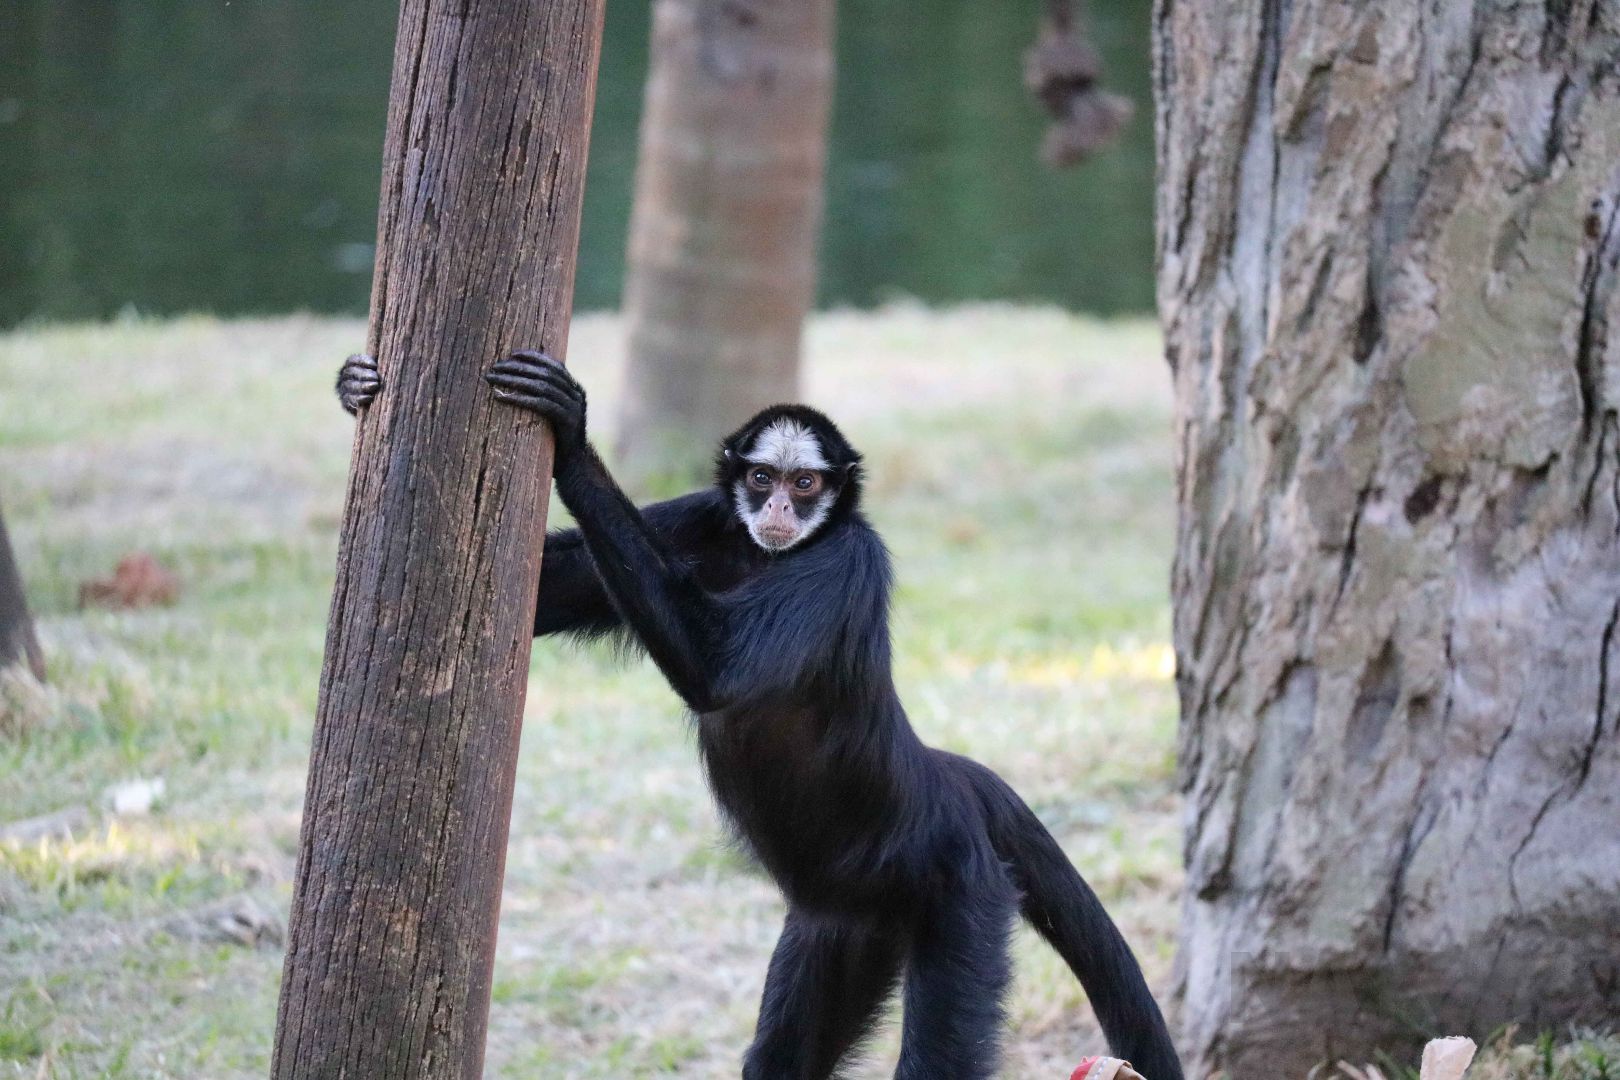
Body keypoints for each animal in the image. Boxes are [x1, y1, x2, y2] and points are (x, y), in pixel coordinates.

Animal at [336, 352, 1184, 1080]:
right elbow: (541, 593)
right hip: (844, 926)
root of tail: (942, 779)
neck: (769, 556)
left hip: (961, 895)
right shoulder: (711, 518)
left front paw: (572, 437)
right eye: (763, 476)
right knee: (784, 1059)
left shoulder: (847, 558)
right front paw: (355, 388)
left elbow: (715, 672)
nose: (777, 504)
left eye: (806, 482)